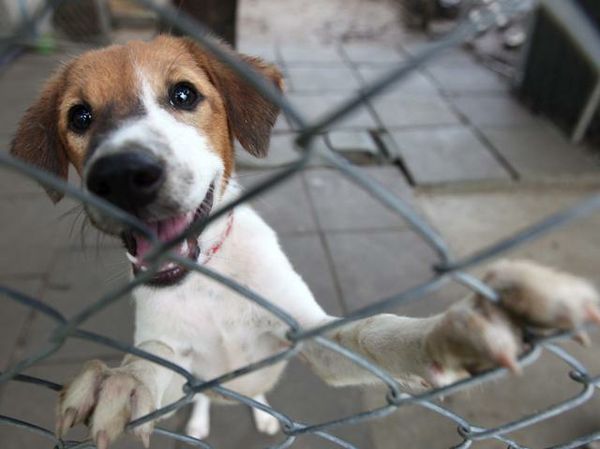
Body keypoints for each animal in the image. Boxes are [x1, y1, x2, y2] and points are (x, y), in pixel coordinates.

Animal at [8, 35, 600, 448]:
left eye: (184, 94)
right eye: (79, 116)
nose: (122, 177)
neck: (209, 280)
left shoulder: (304, 333)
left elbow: (373, 334)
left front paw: (452, 333)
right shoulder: (174, 356)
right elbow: (151, 363)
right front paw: (120, 382)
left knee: (258, 392)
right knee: (210, 398)